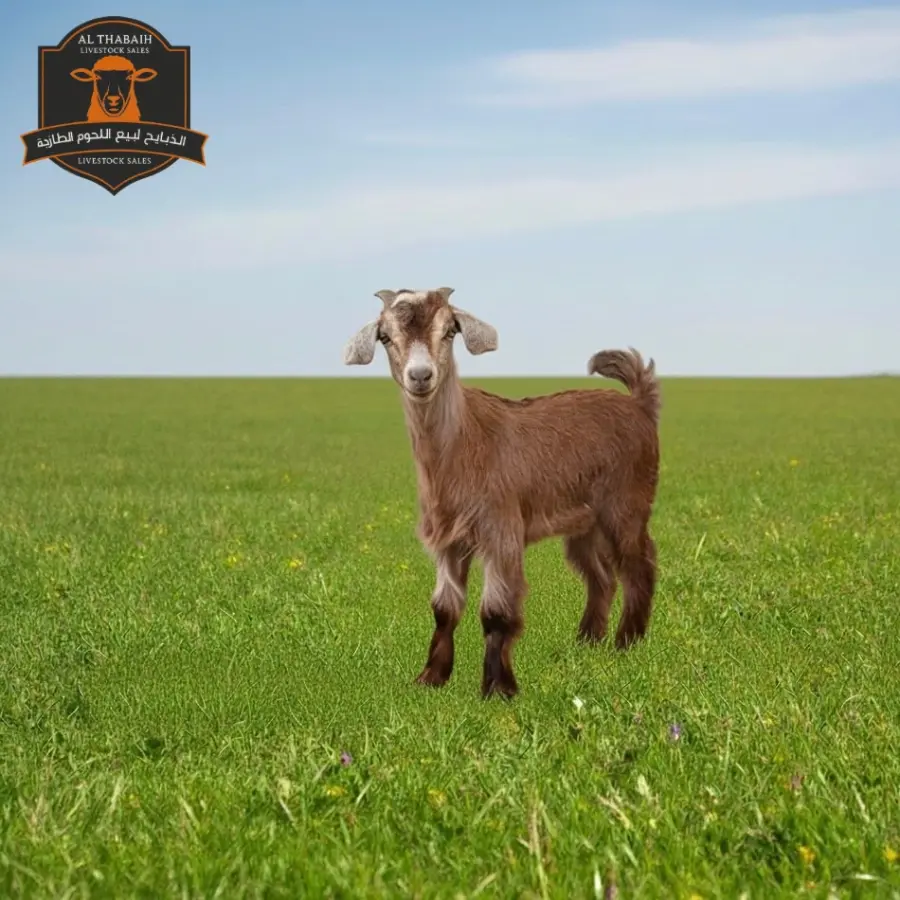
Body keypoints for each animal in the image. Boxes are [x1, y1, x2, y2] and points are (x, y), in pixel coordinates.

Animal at [343, 287, 661, 699]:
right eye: (385, 336)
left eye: (450, 330)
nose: (421, 375)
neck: (463, 444)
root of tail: (639, 404)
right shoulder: (449, 539)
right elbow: (444, 607)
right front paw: (431, 677)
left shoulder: (501, 530)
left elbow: (496, 611)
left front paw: (499, 688)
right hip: (583, 522)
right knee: (601, 575)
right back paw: (587, 642)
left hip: (627, 504)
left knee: (639, 565)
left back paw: (627, 643)